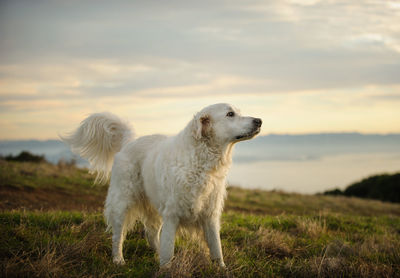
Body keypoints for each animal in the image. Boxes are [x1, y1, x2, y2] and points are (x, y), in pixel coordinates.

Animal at [61, 103, 262, 268]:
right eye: (230, 114)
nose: (259, 120)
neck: (201, 161)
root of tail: (129, 142)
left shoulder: (210, 215)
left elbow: (216, 248)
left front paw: (221, 268)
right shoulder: (172, 215)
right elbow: (169, 248)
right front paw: (166, 269)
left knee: (151, 234)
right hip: (122, 202)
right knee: (118, 235)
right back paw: (118, 260)